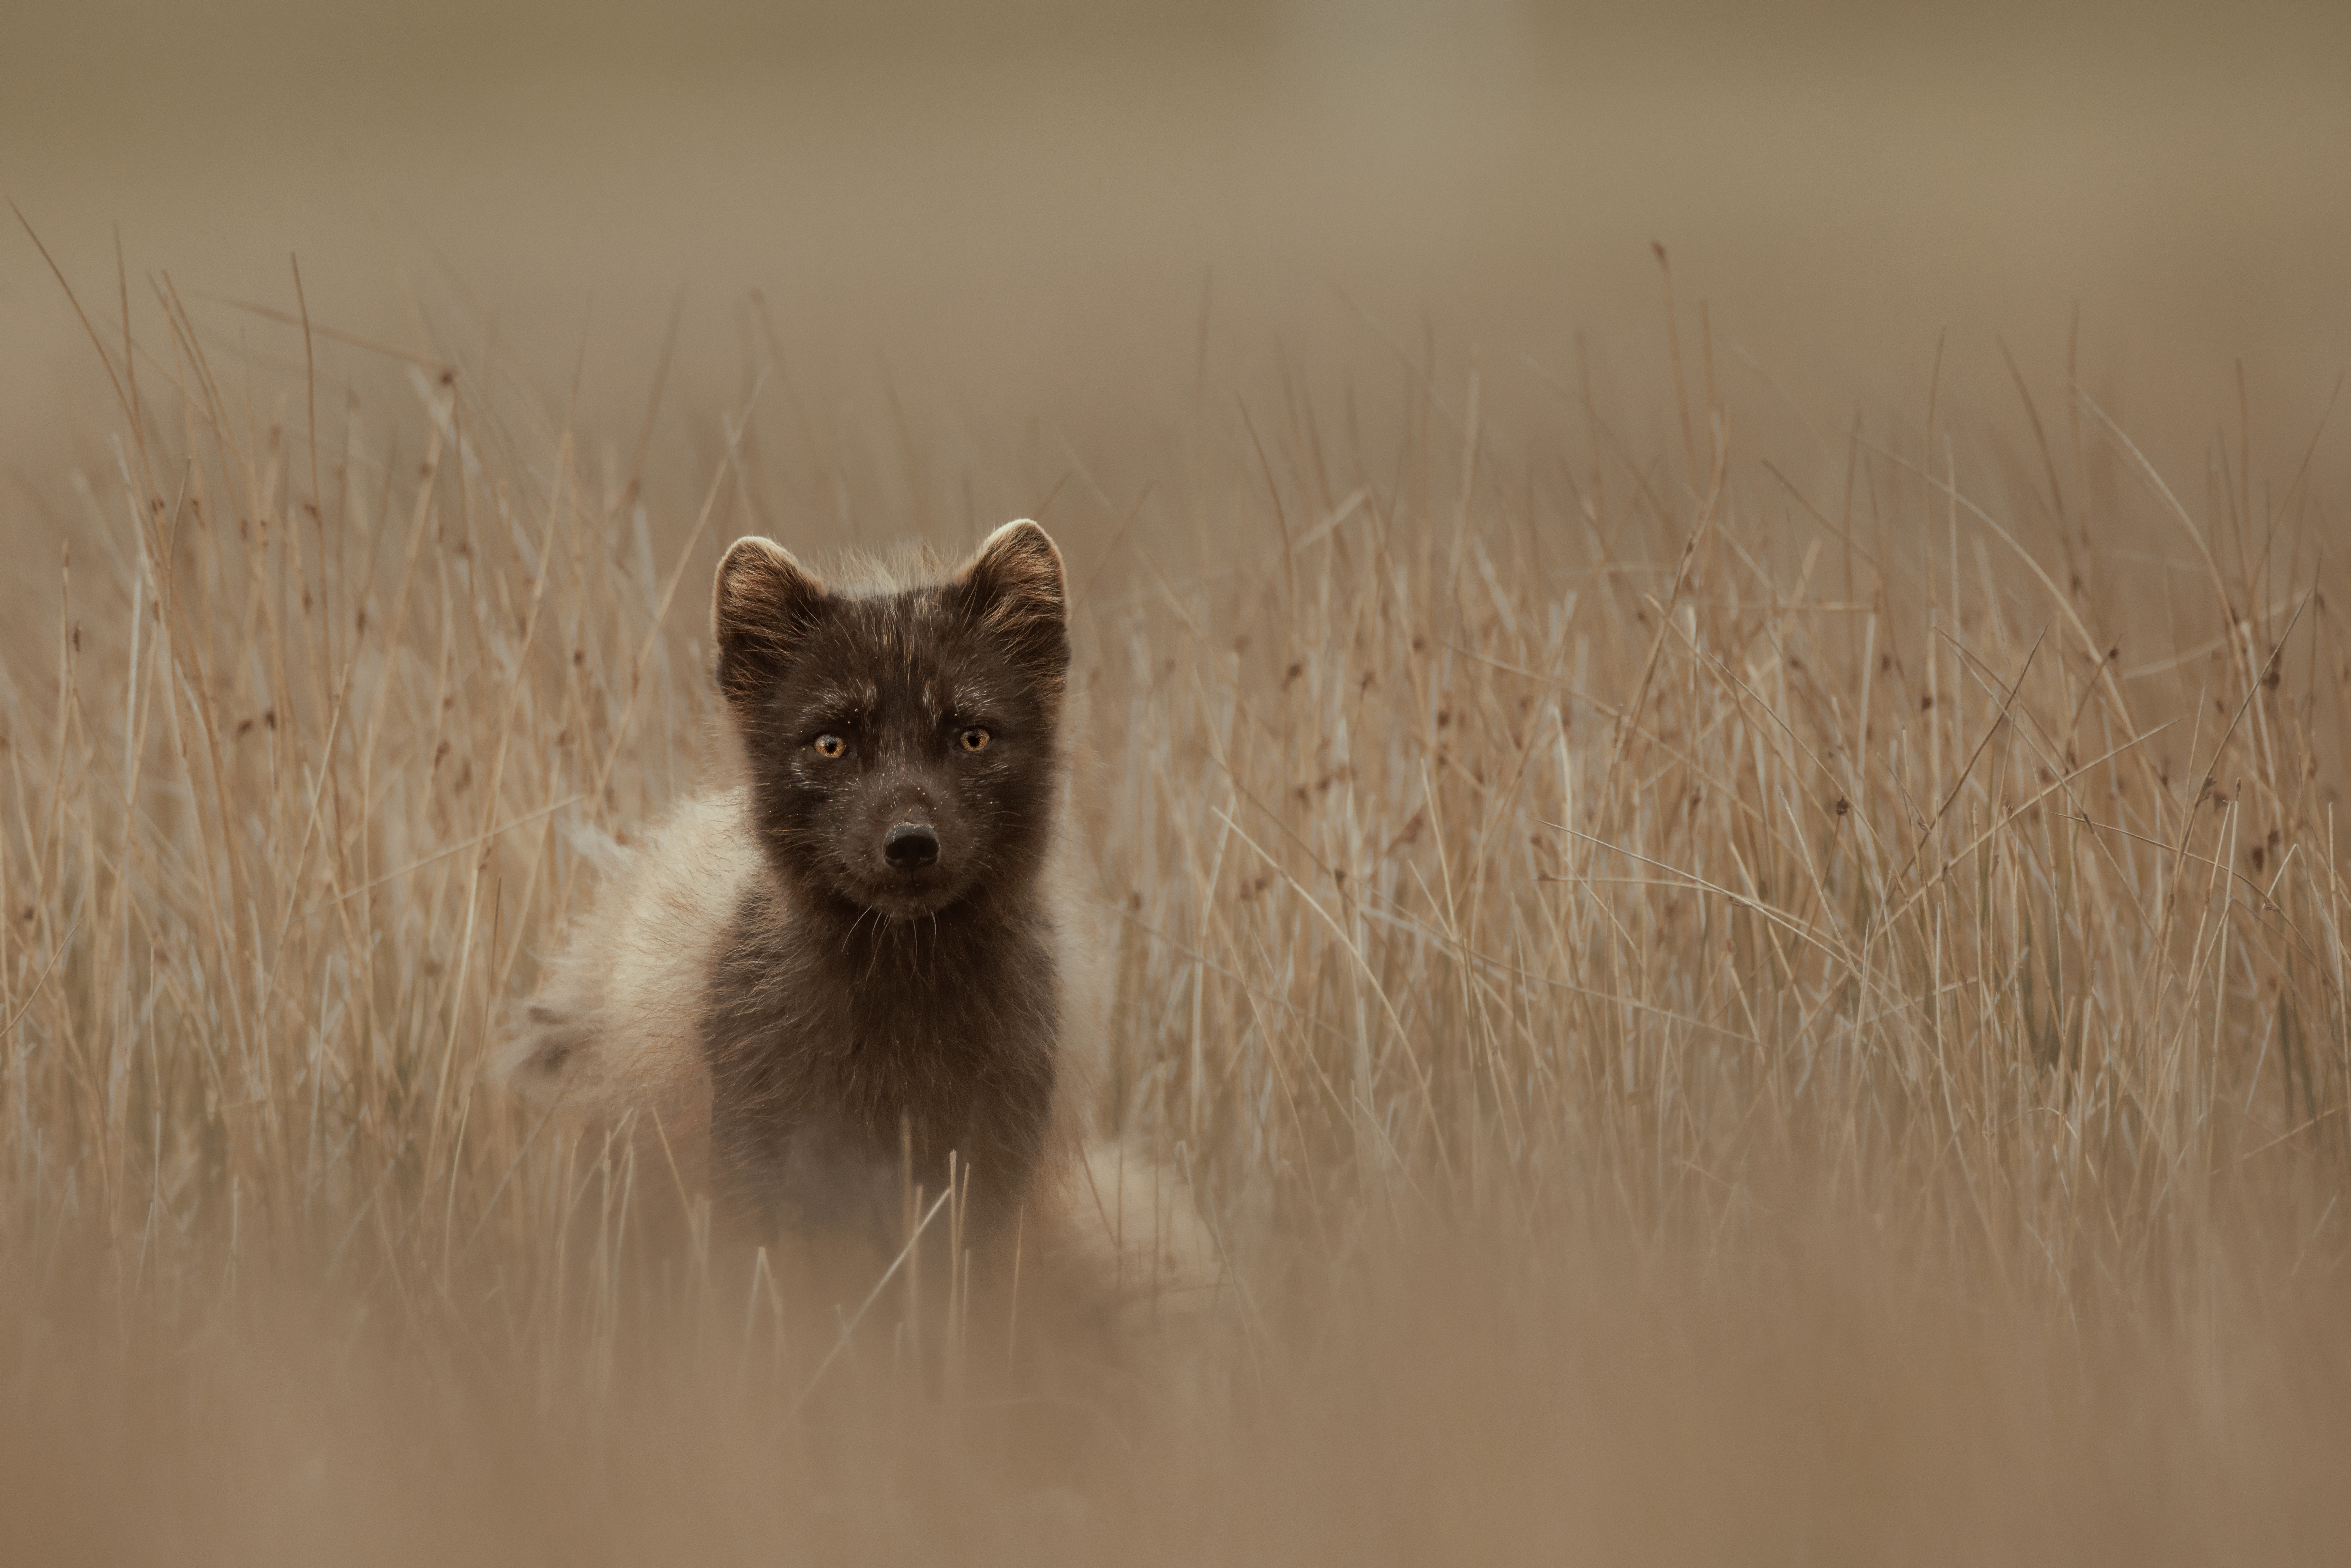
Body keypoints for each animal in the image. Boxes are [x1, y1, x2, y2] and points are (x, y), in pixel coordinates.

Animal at [494, 521, 1216, 1305]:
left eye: (971, 736)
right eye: (831, 744)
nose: (910, 845)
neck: (902, 1000)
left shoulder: (982, 1175)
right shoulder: (762, 1166)